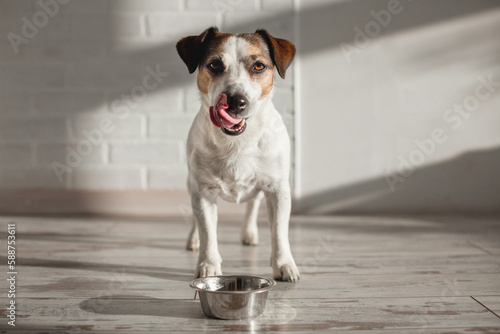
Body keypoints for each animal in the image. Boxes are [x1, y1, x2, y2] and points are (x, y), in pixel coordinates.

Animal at [177, 26, 298, 282]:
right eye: (214, 65)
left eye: (259, 66)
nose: (235, 101)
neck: (238, 141)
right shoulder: (203, 192)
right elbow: (207, 232)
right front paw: (208, 265)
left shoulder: (278, 189)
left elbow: (279, 231)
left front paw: (284, 264)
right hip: (191, 183)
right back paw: (193, 239)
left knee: (253, 205)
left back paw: (249, 233)